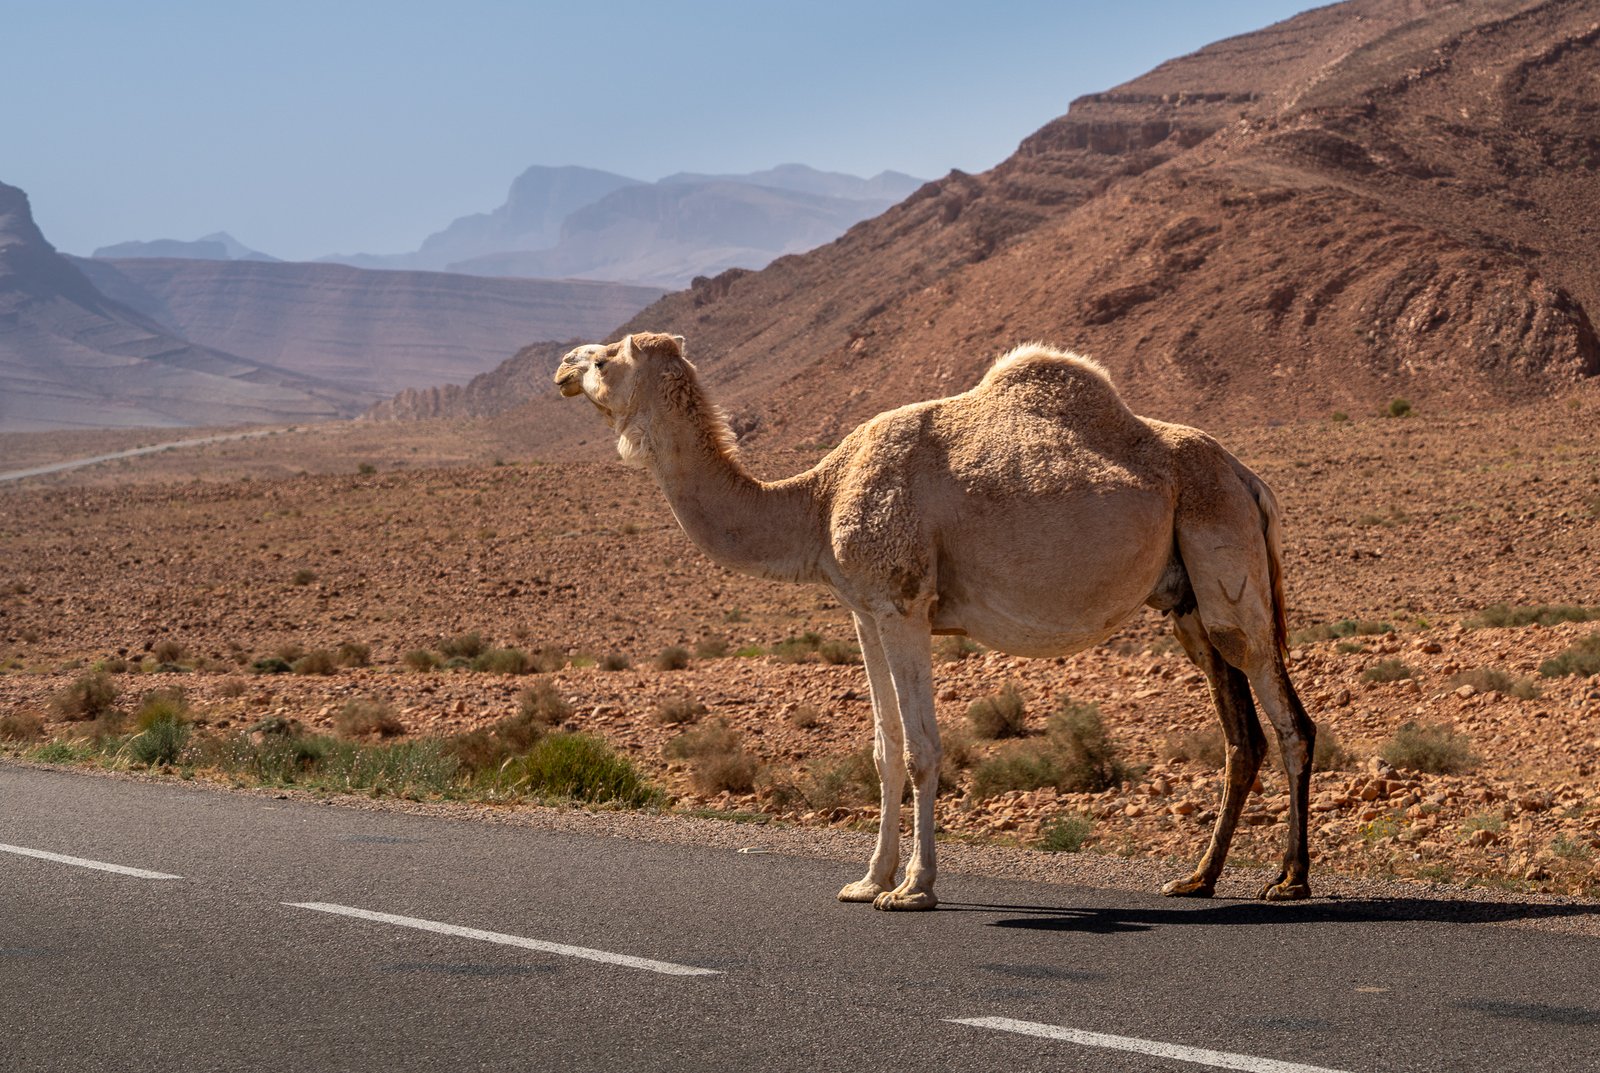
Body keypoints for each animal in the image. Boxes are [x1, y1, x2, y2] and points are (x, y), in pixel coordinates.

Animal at [556, 331, 1316, 911]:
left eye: (605, 358)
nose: (561, 367)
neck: (816, 500)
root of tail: (1251, 479)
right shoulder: (865, 611)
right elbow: (885, 748)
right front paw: (868, 880)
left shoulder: (904, 604)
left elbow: (923, 748)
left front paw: (914, 888)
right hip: (1189, 601)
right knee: (1241, 735)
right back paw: (1198, 878)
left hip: (1227, 557)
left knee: (1288, 720)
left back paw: (1290, 881)